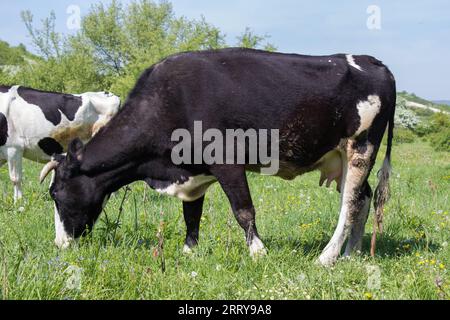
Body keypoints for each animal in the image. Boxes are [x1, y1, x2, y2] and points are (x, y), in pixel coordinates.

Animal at [40, 48, 396, 266]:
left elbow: (243, 210)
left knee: (350, 203)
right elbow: (191, 213)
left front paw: (258, 253)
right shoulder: (191, 169)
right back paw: (350, 255)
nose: (59, 244)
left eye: (55, 193)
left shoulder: (227, 160)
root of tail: (373, 61)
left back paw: (327, 257)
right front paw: (189, 251)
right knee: (362, 198)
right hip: (341, 157)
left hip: (361, 148)